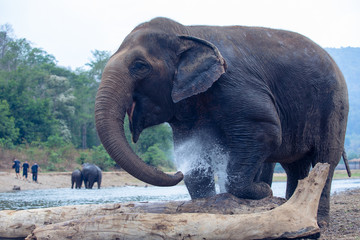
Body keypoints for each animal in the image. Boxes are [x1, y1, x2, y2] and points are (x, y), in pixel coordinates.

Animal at [95, 17, 348, 225]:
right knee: (296, 165)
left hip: (335, 106)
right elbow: (194, 158)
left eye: (140, 66)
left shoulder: (234, 84)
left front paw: (263, 191)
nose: (176, 173)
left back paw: (318, 222)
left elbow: (266, 130)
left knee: (325, 159)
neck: (186, 32)